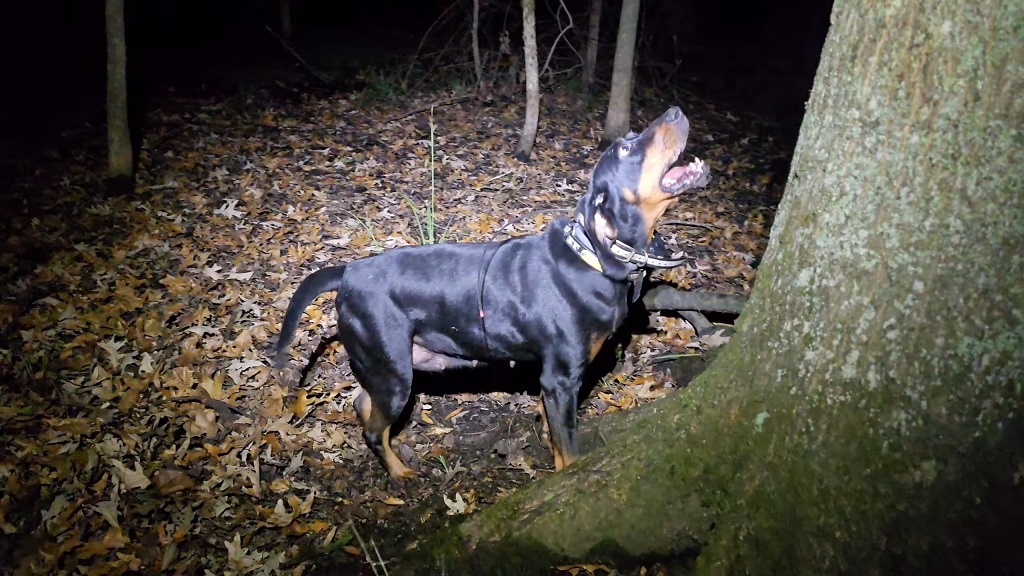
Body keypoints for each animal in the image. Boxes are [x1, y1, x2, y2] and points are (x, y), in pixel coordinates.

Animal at [268, 105, 708, 477]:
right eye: (627, 148)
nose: (675, 110)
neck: (591, 255)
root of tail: (349, 271)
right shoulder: (561, 379)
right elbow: (568, 451)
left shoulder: (550, 384)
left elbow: (553, 435)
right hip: (395, 375)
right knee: (374, 429)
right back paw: (399, 473)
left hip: (389, 367)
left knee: (361, 402)